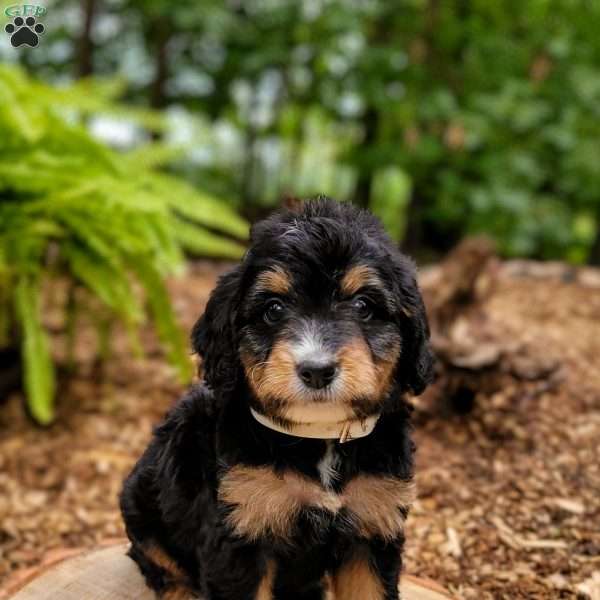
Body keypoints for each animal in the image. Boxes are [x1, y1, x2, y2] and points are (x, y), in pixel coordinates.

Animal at [119, 199, 434, 596]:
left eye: (363, 306)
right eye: (273, 309)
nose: (316, 370)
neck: (319, 438)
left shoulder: (373, 522)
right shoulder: (242, 527)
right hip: (142, 508)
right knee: (161, 564)